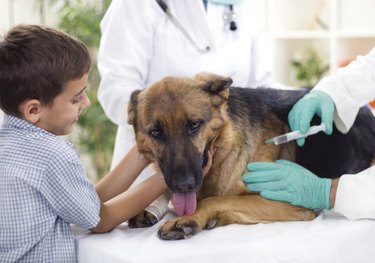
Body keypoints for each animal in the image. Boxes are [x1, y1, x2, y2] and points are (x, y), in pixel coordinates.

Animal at [128, 72, 375, 241]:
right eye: (156, 132)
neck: (225, 148)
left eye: (194, 125)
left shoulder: (287, 203)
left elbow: (215, 199)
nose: (184, 185)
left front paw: (189, 217)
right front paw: (151, 205)